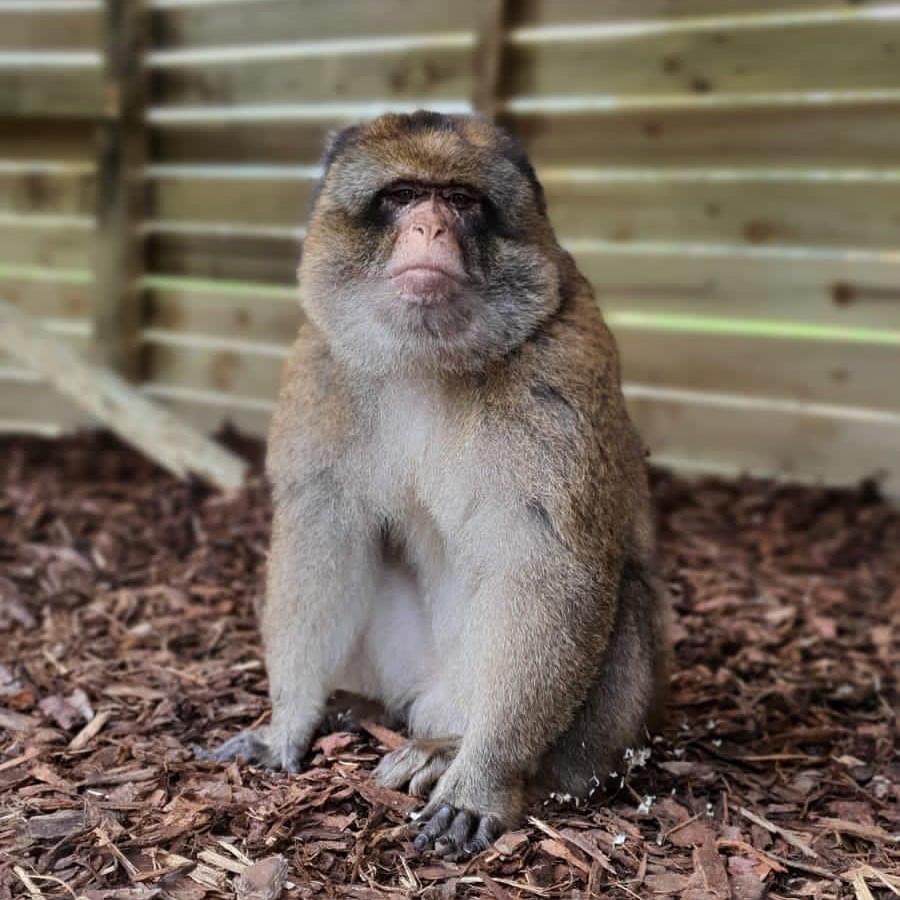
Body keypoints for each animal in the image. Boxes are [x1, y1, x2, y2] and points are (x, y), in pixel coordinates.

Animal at [204, 110, 670, 857]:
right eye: (400, 197)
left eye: (460, 200)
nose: (430, 228)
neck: (428, 360)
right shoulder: (321, 363)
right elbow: (321, 536)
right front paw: (288, 723)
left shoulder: (561, 364)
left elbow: (549, 565)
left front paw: (483, 779)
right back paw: (361, 708)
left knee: (620, 595)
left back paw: (453, 752)